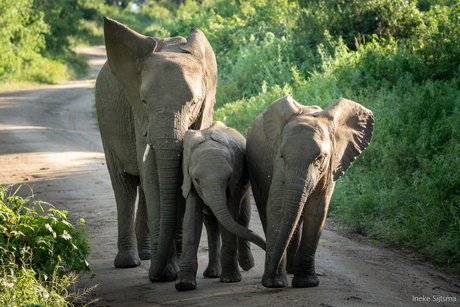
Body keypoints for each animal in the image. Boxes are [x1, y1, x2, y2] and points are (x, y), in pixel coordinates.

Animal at [95, 16, 217, 282]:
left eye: (194, 102)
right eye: (143, 101)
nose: (154, 276)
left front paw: (174, 269)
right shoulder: (139, 117)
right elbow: (152, 175)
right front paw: (167, 273)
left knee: (141, 185)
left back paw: (148, 254)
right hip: (106, 127)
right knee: (125, 185)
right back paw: (130, 261)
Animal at [176, 121, 266, 292]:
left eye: (229, 178)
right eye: (196, 180)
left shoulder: (236, 178)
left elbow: (230, 215)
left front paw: (230, 280)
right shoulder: (188, 178)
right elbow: (192, 220)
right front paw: (185, 285)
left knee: (243, 217)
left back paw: (247, 265)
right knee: (211, 224)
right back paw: (212, 273)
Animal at [246, 95, 372, 288]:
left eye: (320, 158)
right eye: (282, 156)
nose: (268, 279)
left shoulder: (331, 168)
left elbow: (317, 212)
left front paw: (306, 283)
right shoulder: (278, 166)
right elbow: (278, 207)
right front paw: (275, 283)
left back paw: (291, 269)